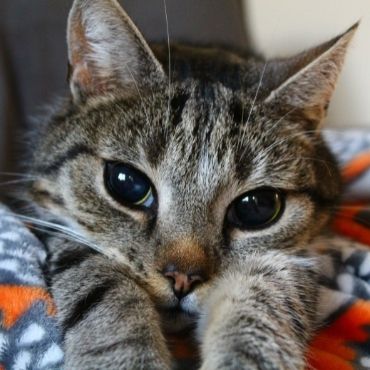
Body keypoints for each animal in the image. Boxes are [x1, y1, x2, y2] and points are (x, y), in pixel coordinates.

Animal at [23, 0, 356, 368]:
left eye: (257, 207)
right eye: (127, 183)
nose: (183, 278)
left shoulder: (291, 258)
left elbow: (264, 301)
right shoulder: (61, 229)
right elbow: (101, 287)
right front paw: (129, 357)